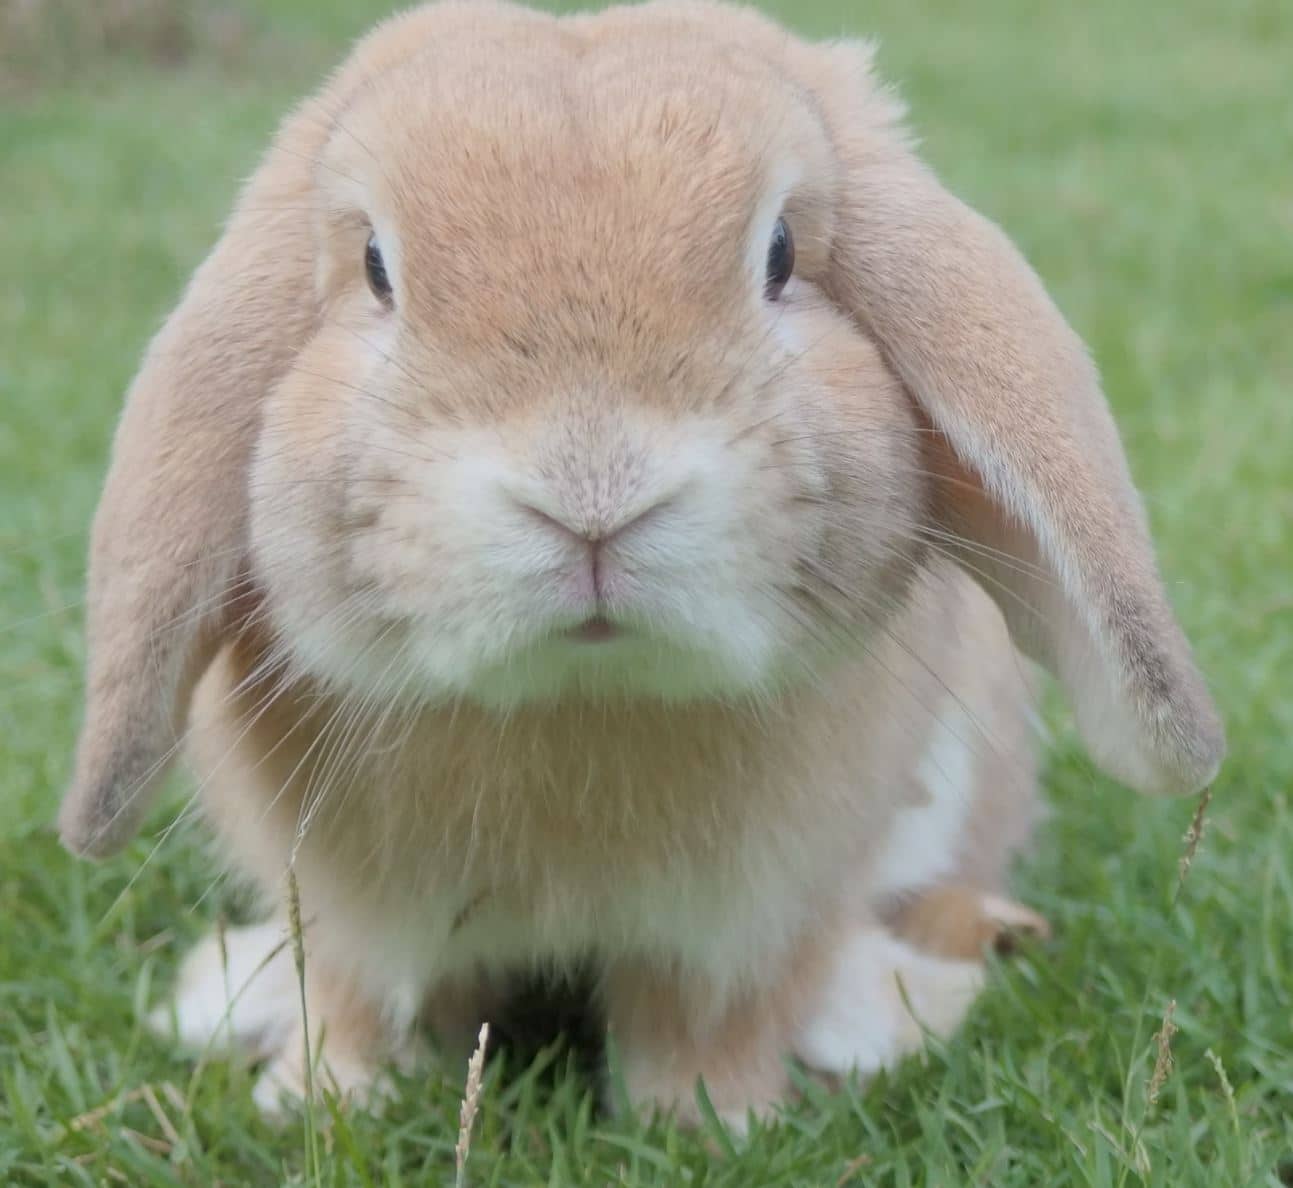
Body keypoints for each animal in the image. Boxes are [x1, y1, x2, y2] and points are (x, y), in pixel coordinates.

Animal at [58, 0, 1220, 1127]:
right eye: (378, 270)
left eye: (781, 253)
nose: (592, 492)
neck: (580, 700)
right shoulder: (350, 918)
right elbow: (360, 1002)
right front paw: (321, 1101)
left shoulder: (746, 924)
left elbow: (706, 1021)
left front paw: (711, 1122)